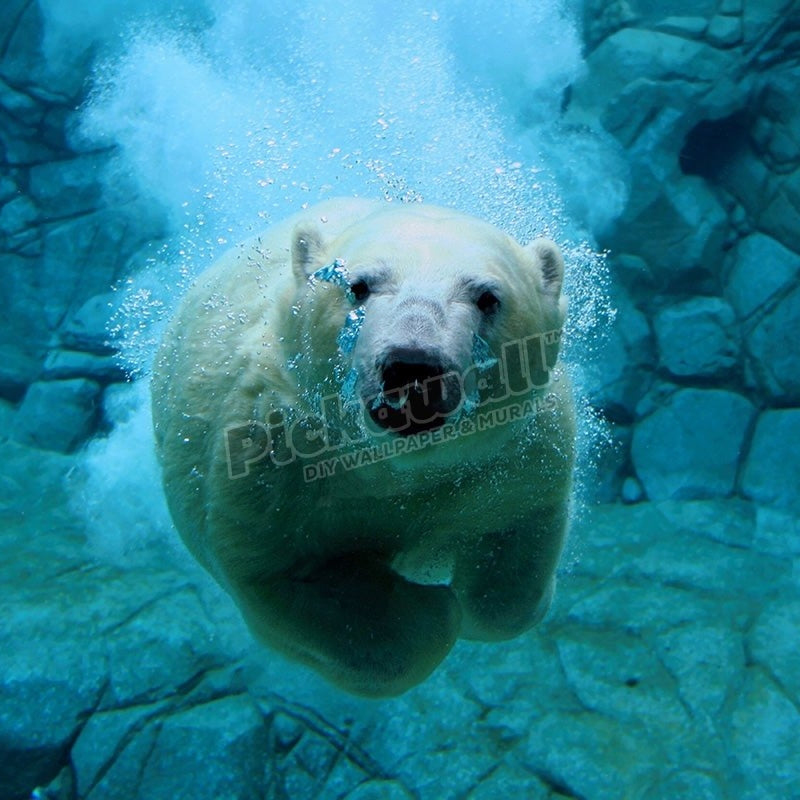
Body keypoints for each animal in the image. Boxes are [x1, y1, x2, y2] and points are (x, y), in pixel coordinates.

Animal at [151, 198, 575, 697]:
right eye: (358, 286)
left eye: (488, 297)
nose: (412, 365)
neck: (395, 465)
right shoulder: (269, 461)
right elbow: (286, 576)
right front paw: (431, 610)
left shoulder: (514, 453)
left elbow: (515, 542)